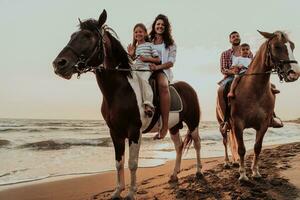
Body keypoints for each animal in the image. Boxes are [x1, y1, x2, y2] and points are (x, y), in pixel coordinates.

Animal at [52, 10, 202, 199]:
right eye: (72, 36)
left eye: (87, 36)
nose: (59, 64)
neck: (118, 91)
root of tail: (189, 88)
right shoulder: (115, 132)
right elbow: (118, 162)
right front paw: (117, 191)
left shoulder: (134, 131)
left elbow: (132, 163)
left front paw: (131, 192)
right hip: (174, 127)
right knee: (179, 146)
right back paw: (174, 175)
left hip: (193, 123)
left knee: (197, 143)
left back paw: (199, 172)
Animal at [217, 30, 298, 182]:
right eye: (277, 46)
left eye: (292, 46)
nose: (294, 73)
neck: (254, 90)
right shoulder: (238, 124)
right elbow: (242, 149)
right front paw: (243, 175)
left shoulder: (263, 124)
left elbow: (257, 147)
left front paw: (255, 172)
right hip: (223, 124)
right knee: (225, 141)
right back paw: (227, 162)